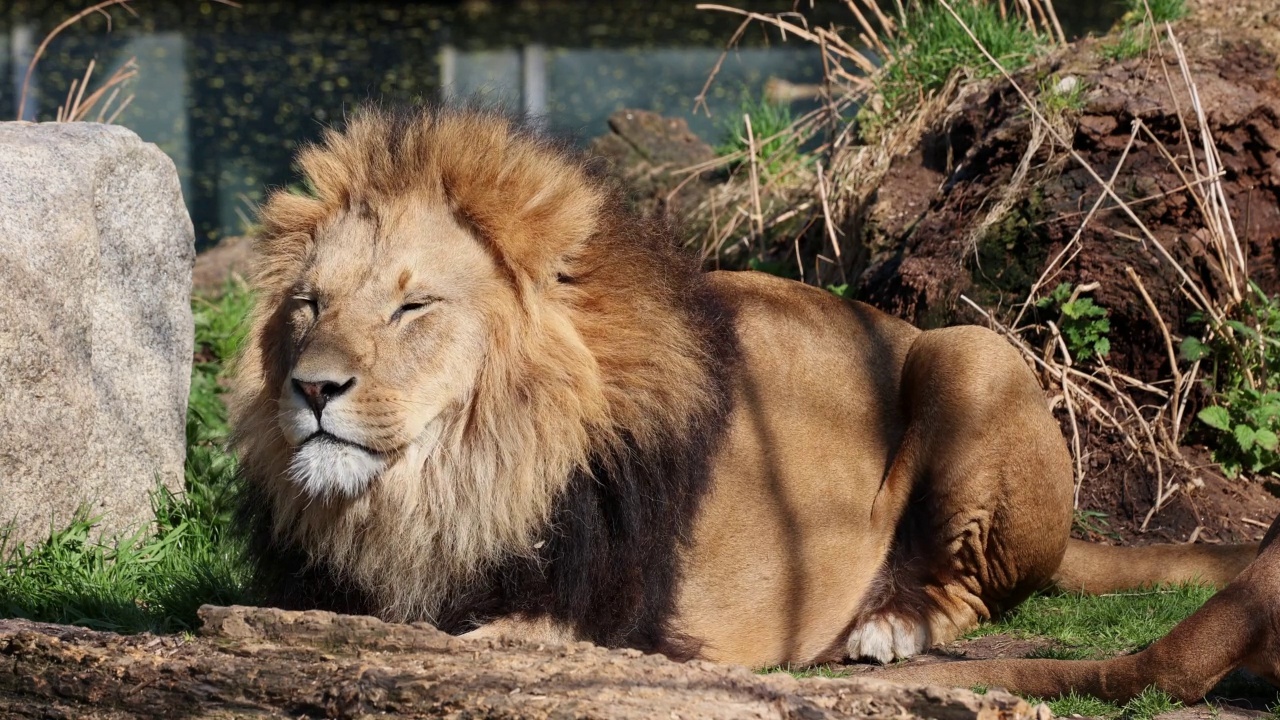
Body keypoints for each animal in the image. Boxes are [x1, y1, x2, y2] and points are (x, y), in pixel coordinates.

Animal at [230, 103, 1259, 671]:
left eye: (413, 308)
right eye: (310, 303)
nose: (311, 389)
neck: (447, 489)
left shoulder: (598, 621)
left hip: (973, 353)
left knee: (970, 591)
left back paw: (887, 627)